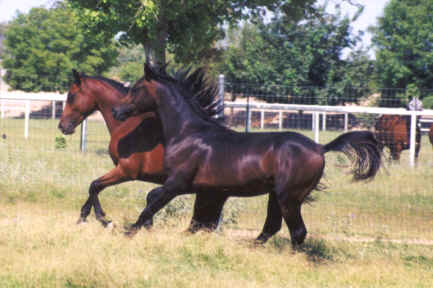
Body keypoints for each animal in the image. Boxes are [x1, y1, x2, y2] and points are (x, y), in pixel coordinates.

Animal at [58, 71, 226, 231]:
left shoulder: (126, 171)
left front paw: (105, 221)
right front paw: (83, 218)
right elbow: (94, 189)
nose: (62, 126)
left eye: (71, 96)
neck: (128, 125)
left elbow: (94, 186)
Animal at [111, 64, 382, 246]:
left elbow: (153, 202)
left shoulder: (178, 183)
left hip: (289, 196)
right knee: (272, 226)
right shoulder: (206, 190)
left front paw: (130, 231)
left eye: (136, 89)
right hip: (277, 195)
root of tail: (320, 147)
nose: (116, 111)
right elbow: (197, 221)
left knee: (297, 231)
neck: (189, 132)